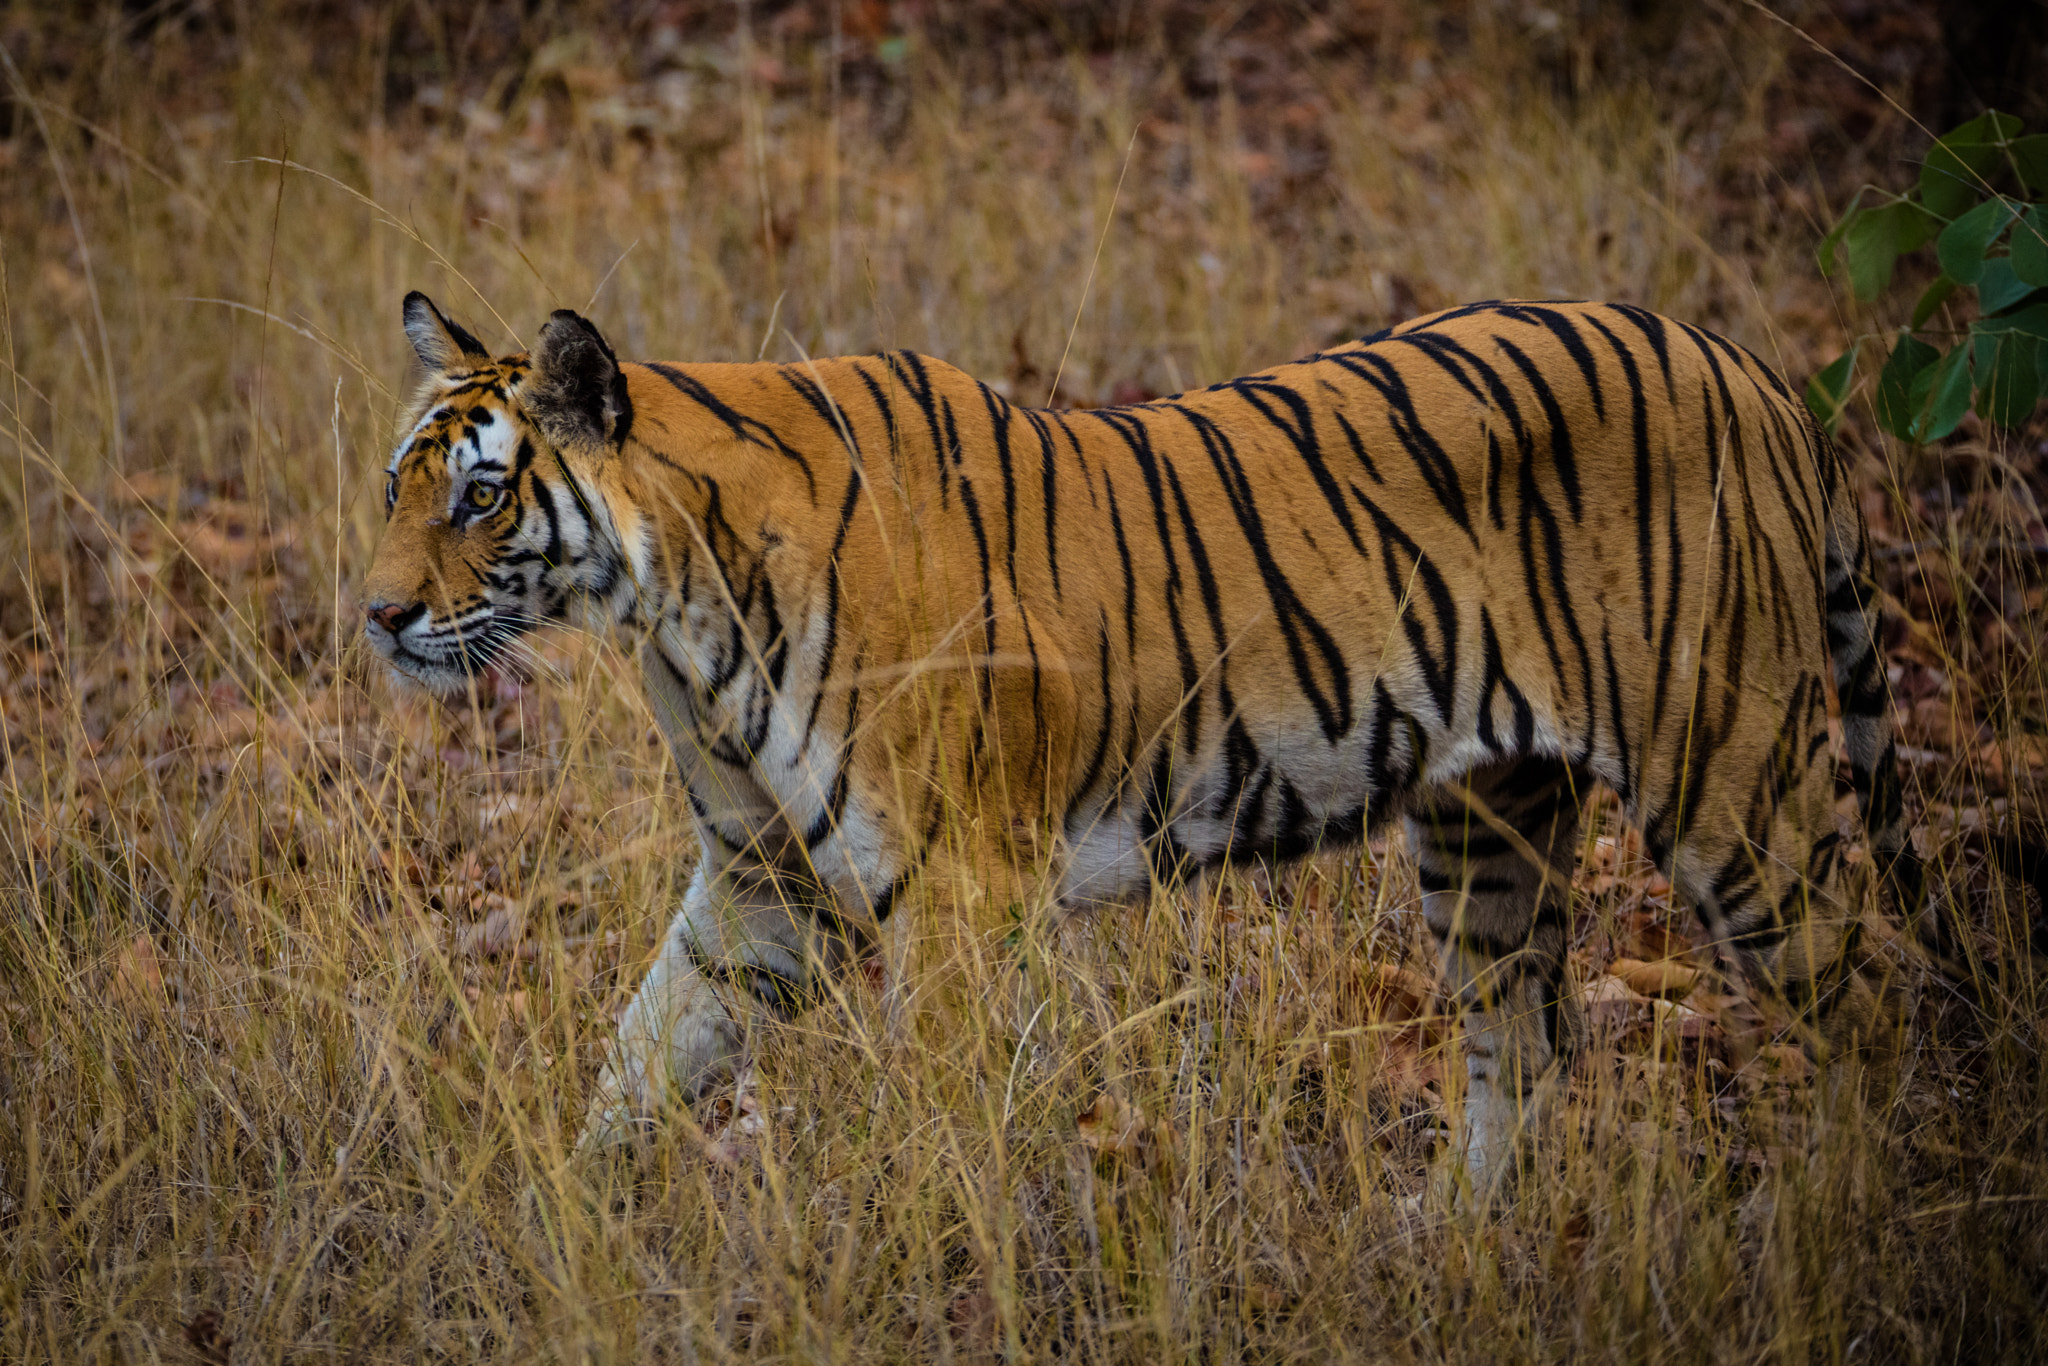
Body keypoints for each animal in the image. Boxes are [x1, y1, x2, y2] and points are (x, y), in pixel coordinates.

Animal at [361, 290, 1923, 1185]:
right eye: (397, 487)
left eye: (480, 497)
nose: (375, 616)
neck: (671, 607)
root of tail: (1753, 370)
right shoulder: (758, 884)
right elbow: (632, 1068)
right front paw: (565, 1228)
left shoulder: (959, 896)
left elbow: (949, 1133)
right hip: (1488, 824)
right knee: (1520, 1062)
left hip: (1731, 779)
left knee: (1869, 1006)